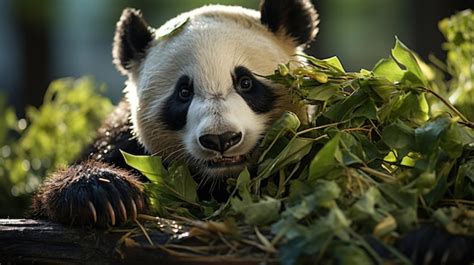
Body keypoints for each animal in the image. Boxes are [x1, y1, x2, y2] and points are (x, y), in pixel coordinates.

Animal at [31, 1, 472, 262]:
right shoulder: (122, 140)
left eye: (245, 82)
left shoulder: (326, 142)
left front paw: (438, 241)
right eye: (183, 93)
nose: (221, 140)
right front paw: (102, 193)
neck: (224, 182)